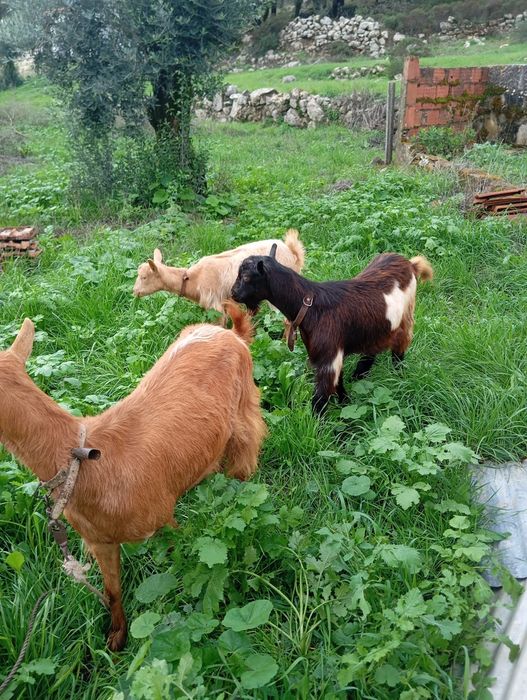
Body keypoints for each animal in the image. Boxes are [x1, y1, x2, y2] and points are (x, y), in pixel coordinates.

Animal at [0, 303, 266, 651]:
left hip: (245, 408)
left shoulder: (162, 517)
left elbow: (180, 562)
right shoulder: (99, 540)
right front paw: (116, 639)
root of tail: (231, 334)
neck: (87, 463)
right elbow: (112, 591)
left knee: (246, 454)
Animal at [231, 249, 433, 413]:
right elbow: (339, 382)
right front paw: (346, 403)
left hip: (406, 316)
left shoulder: (328, 356)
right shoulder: (331, 353)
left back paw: (398, 375)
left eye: (247, 277)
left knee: (400, 346)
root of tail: (409, 263)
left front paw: (317, 427)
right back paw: (360, 375)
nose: (233, 293)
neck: (310, 306)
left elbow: (320, 397)